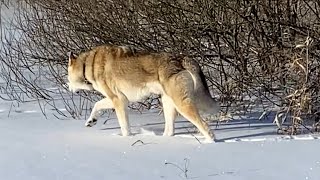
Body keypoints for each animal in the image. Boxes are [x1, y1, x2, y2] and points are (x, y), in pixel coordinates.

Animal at [66, 45, 219, 142]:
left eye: (67, 77)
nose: (69, 89)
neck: (87, 66)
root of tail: (182, 58)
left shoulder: (118, 100)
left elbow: (124, 127)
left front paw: (126, 138)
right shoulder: (118, 98)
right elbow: (97, 105)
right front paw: (91, 121)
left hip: (182, 105)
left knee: (205, 127)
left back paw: (210, 143)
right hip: (168, 103)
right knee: (170, 131)